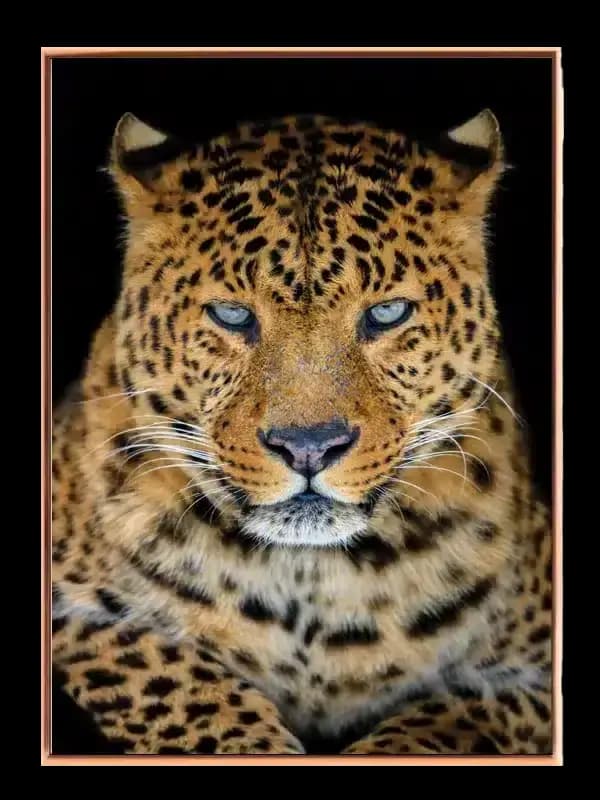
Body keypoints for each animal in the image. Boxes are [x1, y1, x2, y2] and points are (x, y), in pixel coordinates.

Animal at [51, 108, 553, 757]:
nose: (309, 447)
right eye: (232, 315)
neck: (311, 577)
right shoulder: (75, 616)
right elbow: (180, 684)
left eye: (387, 313)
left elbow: (437, 725)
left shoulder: (533, 672)